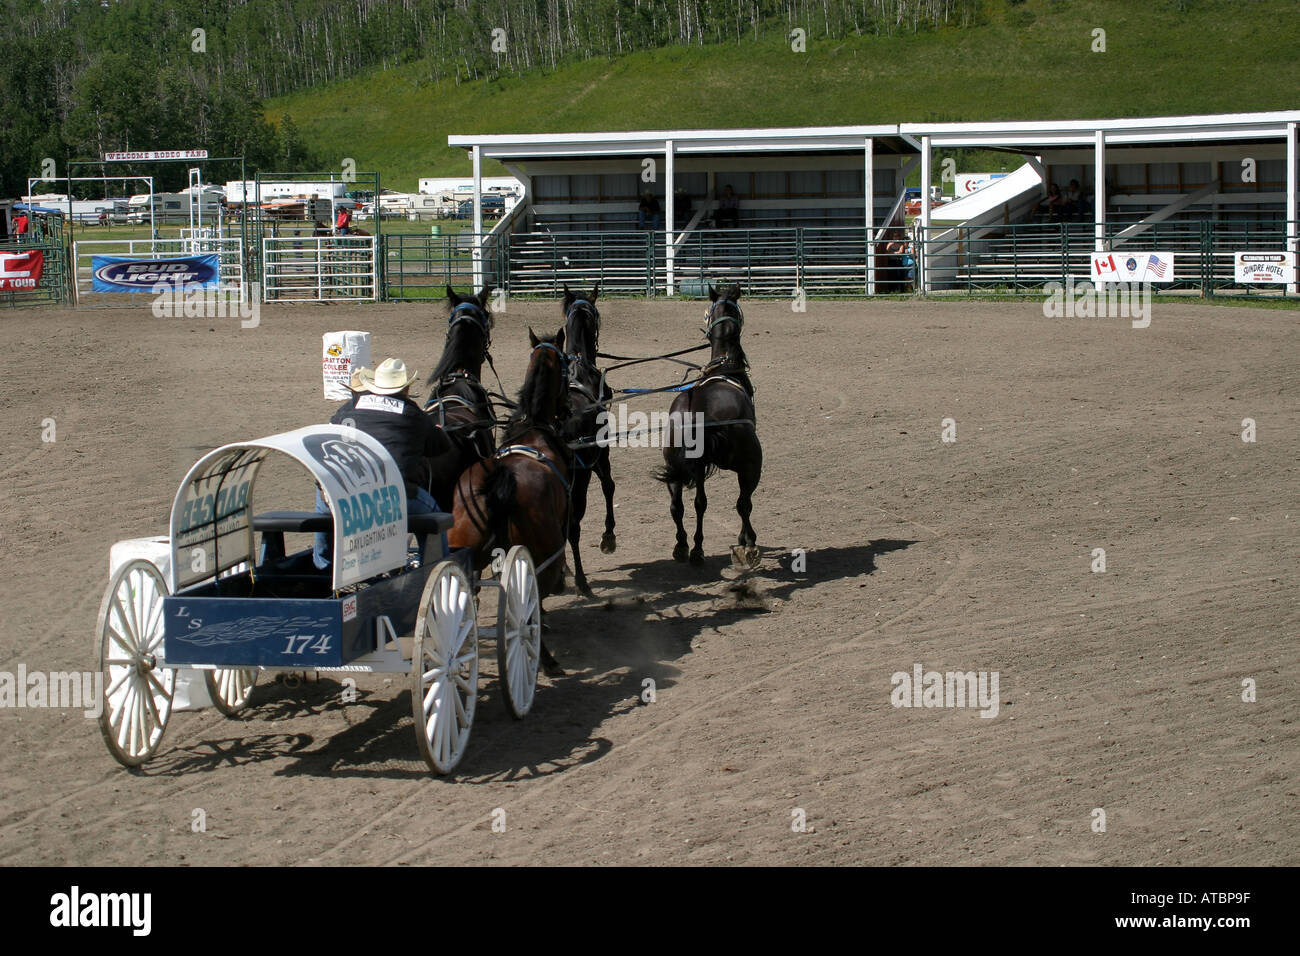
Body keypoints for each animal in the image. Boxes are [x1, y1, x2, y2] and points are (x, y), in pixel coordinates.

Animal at [449, 329, 572, 681]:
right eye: (567, 361)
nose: (567, 408)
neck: (534, 429)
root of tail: (501, 480)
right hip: (545, 555)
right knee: (527, 607)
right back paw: (545, 659)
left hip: (465, 556)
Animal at [655, 283, 759, 567]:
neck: (724, 366)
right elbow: (743, 503)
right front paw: (745, 542)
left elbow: (698, 504)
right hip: (750, 464)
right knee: (743, 503)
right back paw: (748, 545)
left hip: (678, 464)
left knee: (681, 505)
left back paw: (687, 548)